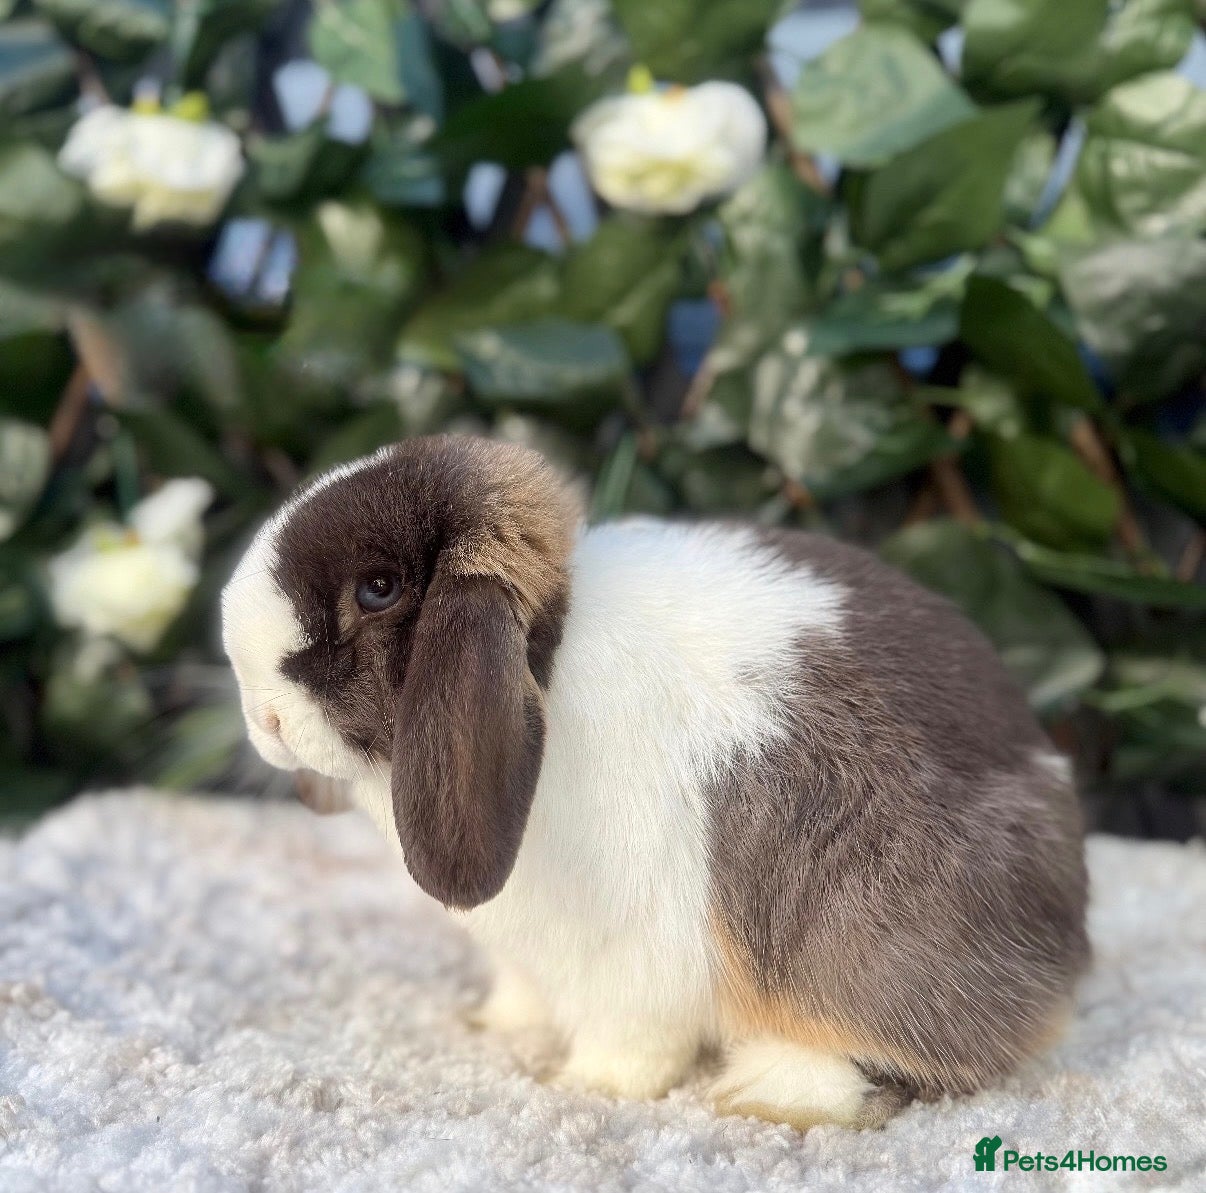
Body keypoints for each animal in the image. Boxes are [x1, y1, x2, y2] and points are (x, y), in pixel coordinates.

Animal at [222, 434, 1089, 1131]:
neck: (544, 659)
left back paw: (765, 1092)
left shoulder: (629, 965)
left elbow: (632, 1043)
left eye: (378, 589)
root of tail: (1068, 940)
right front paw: (493, 1025)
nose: (262, 716)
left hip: (853, 938)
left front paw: (581, 1086)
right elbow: (521, 992)